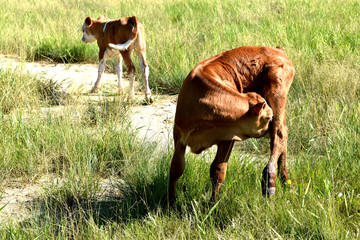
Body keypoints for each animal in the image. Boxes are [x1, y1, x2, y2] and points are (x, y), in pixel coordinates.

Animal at [167, 45, 294, 202]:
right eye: (267, 118)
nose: (268, 128)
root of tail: (277, 50)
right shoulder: (178, 133)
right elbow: (176, 167)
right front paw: (170, 201)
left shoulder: (228, 136)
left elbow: (218, 170)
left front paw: (213, 203)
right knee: (279, 137)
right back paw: (284, 181)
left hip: (277, 91)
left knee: (279, 134)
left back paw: (270, 180)